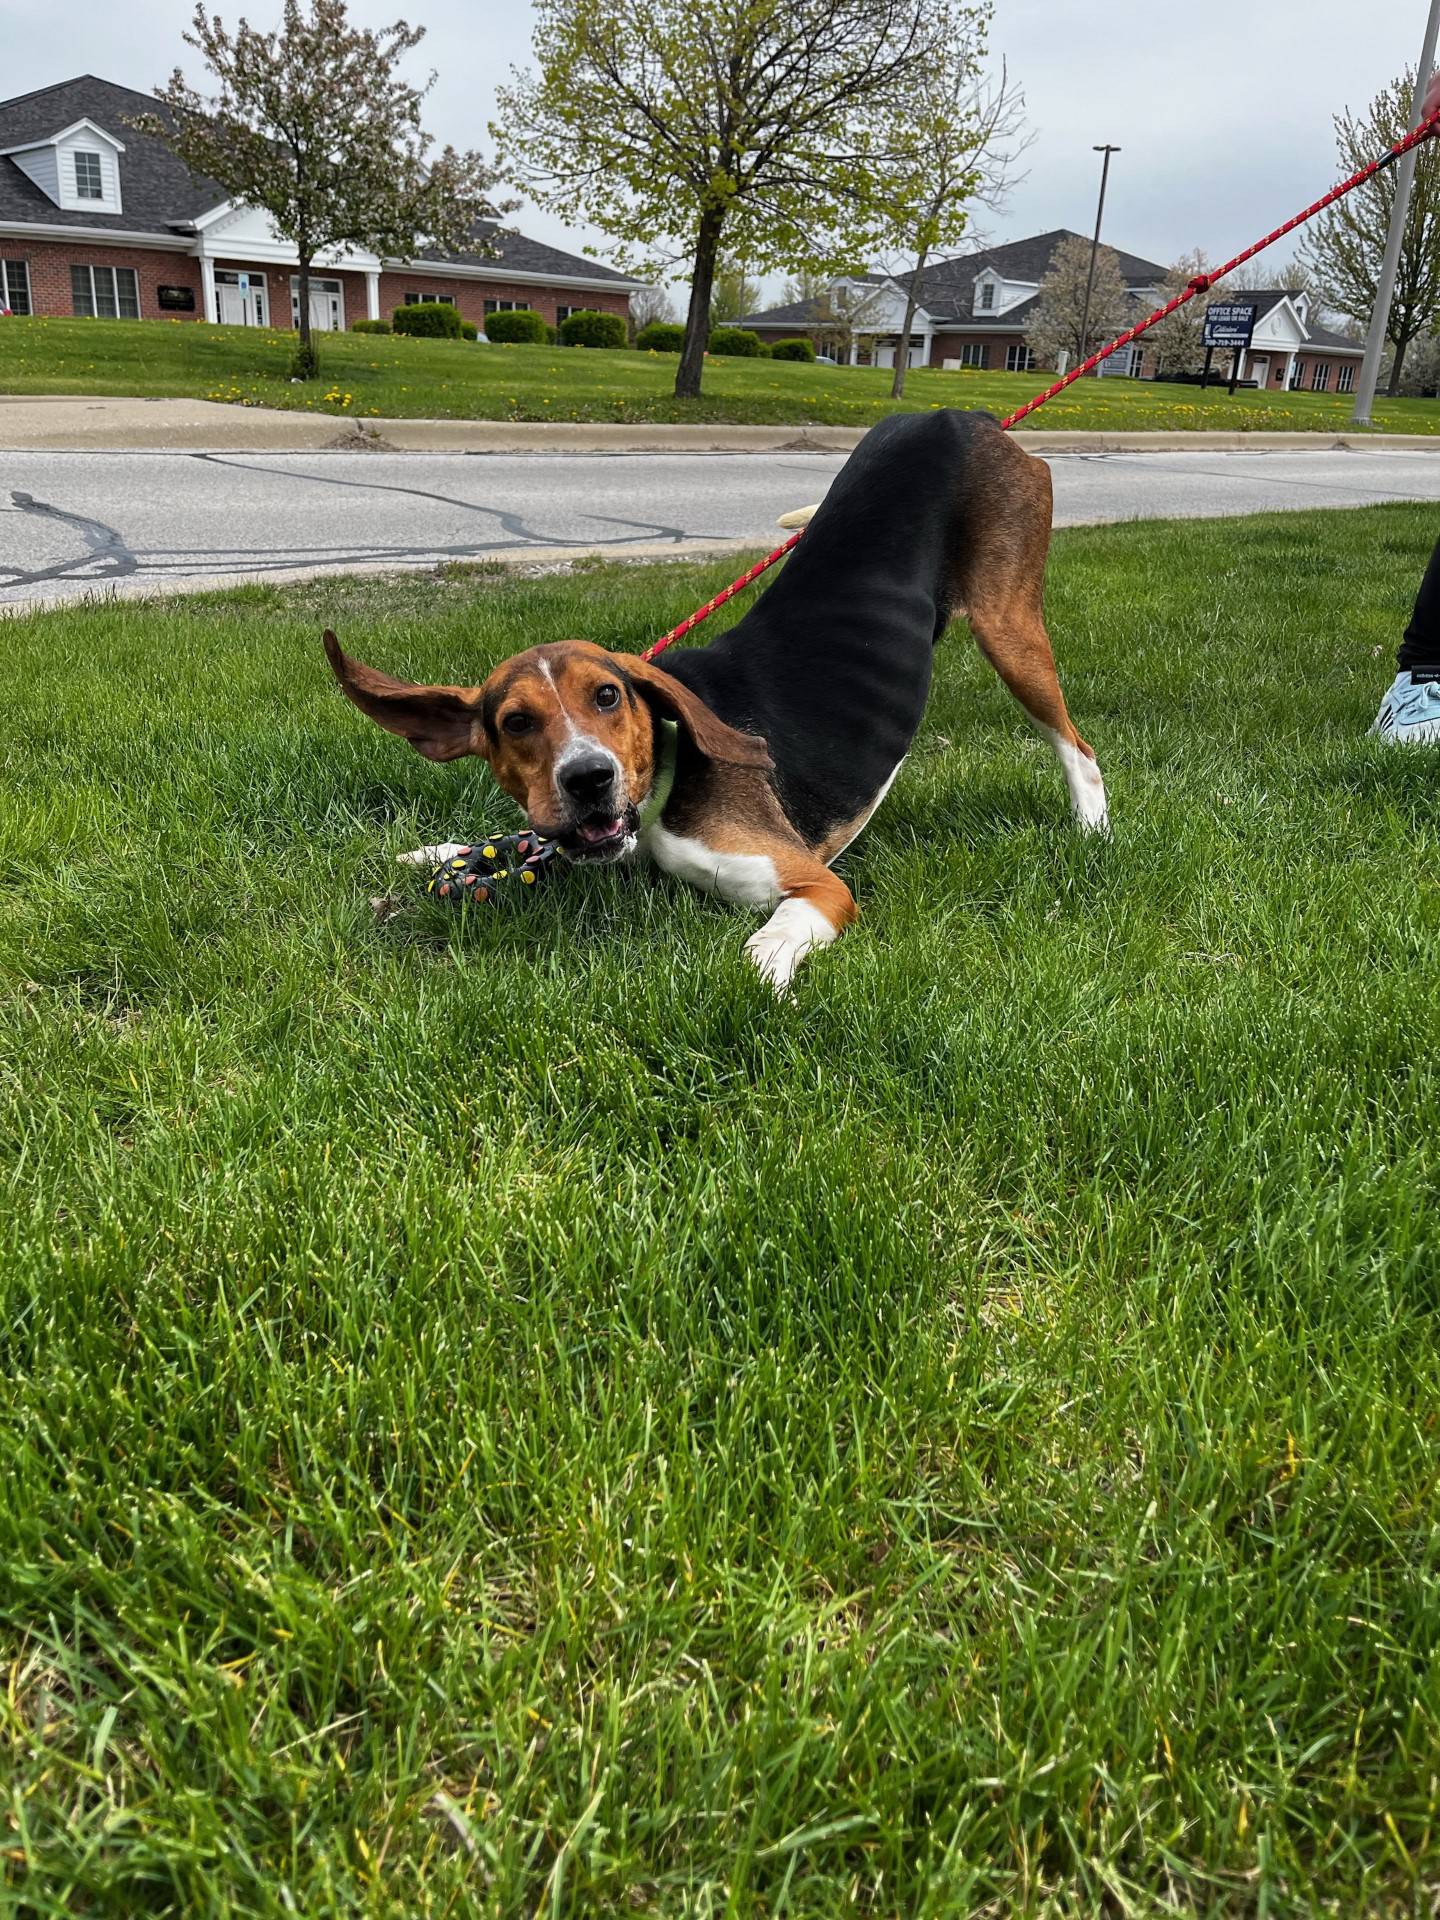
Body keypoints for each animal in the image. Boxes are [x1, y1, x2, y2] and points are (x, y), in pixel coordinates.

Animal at [326, 414, 1113, 998]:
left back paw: (1091, 831)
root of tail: (962, 415)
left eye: (608, 695)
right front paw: (435, 849)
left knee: (1077, 746)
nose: (588, 779)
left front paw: (765, 980)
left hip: (1007, 625)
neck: (666, 777)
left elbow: (762, 946)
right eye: (515, 723)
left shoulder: (818, 885)